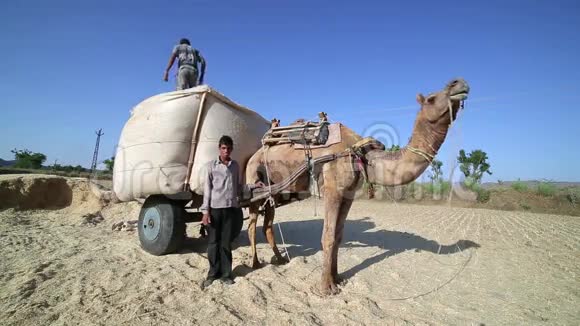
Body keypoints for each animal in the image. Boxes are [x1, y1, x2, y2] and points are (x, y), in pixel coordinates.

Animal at [242, 77, 468, 294]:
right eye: (431, 98)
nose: (459, 83)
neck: (360, 154)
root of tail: (254, 153)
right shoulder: (332, 191)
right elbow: (328, 236)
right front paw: (326, 288)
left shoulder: (348, 195)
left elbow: (339, 236)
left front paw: (337, 278)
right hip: (253, 178)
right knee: (252, 223)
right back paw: (255, 263)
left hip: (276, 192)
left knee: (268, 224)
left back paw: (280, 259)